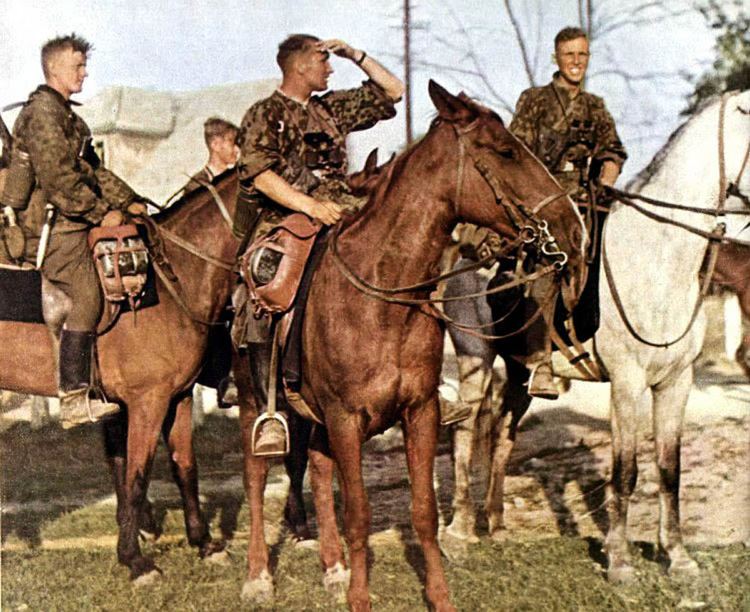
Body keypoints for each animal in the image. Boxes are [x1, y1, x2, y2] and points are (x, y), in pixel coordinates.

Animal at [238, 81, 592, 612]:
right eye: (505, 151)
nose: (574, 230)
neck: (385, 296)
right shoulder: (345, 420)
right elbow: (360, 514)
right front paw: (360, 599)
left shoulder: (420, 412)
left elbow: (423, 509)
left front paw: (438, 595)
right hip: (254, 401)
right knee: (258, 474)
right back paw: (260, 576)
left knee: (318, 472)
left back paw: (333, 569)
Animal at [440, 88, 750, 580]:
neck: (658, 258)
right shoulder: (626, 384)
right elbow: (626, 471)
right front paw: (620, 561)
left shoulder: (676, 382)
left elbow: (670, 468)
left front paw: (678, 557)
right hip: (475, 357)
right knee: (466, 432)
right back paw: (458, 533)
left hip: (519, 372)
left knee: (503, 432)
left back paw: (497, 526)